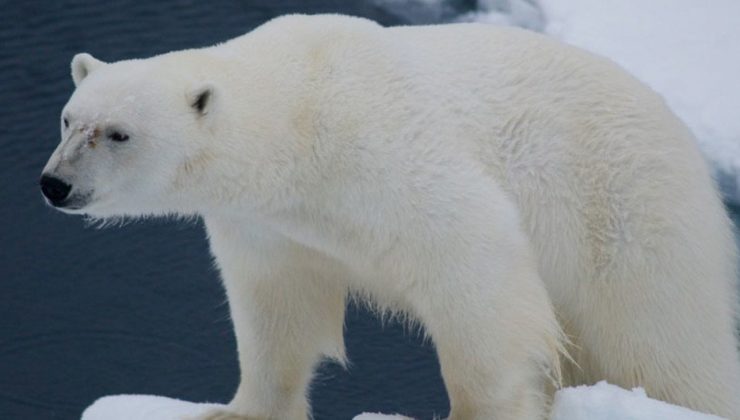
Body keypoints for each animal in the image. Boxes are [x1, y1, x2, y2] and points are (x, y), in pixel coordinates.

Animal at [42, 13, 740, 420]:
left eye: (119, 133)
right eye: (69, 119)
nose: (55, 184)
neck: (297, 116)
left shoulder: (384, 148)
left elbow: (474, 261)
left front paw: (479, 410)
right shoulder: (271, 227)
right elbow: (278, 308)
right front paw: (235, 411)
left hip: (628, 208)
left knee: (663, 342)